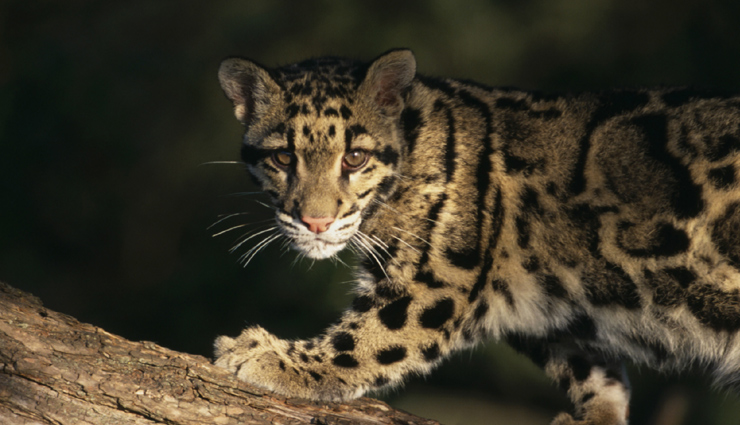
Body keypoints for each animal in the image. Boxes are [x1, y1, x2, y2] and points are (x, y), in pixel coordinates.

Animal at [213, 48, 740, 425]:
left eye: (355, 158)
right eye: (283, 158)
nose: (315, 222)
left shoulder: (436, 281)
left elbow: (367, 340)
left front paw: (272, 357)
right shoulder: (548, 303)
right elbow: (593, 367)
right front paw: (597, 414)